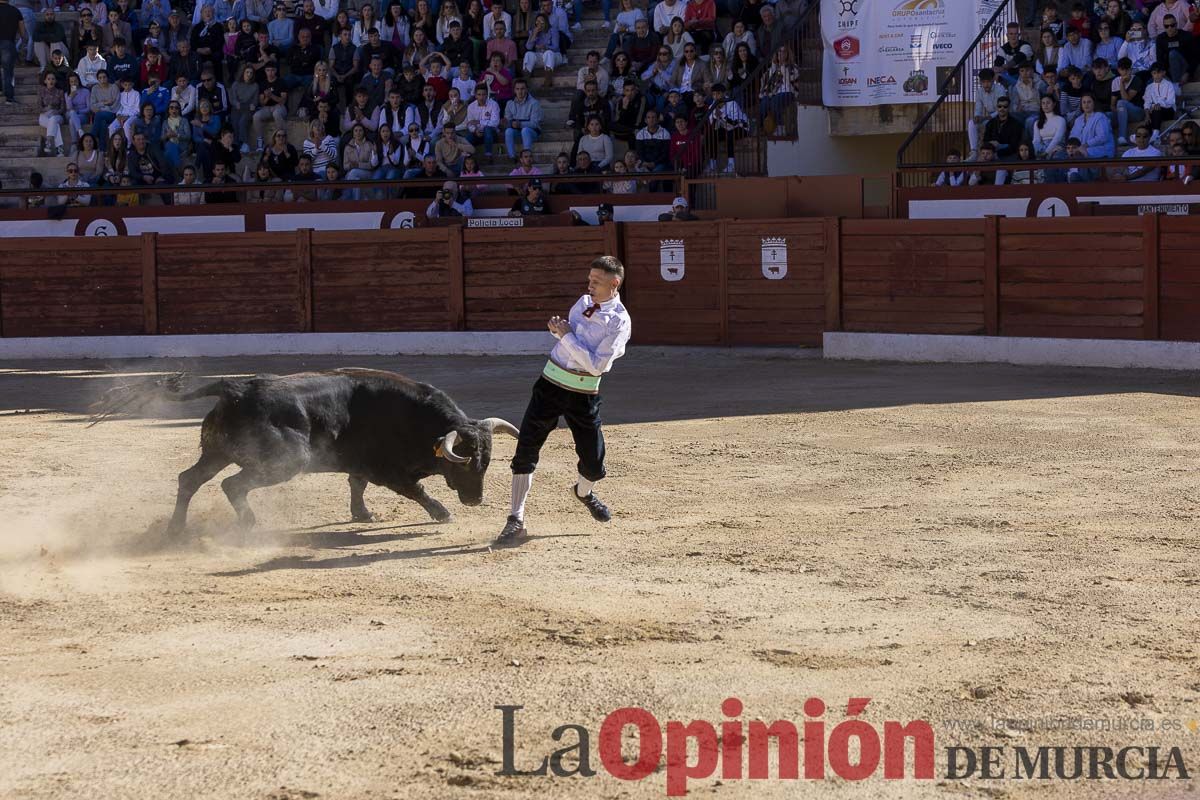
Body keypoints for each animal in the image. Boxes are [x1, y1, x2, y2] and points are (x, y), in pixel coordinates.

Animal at [153, 371, 516, 537]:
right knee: (232, 485)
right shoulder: (388, 471)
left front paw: (362, 514)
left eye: (486, 464)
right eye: (465, 465)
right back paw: (249, 523)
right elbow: (417, 490)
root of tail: (235, 388)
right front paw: (442, 513)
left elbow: (356, 484)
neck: (417, 421)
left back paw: (175, 529)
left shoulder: (361, 465)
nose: (475, 500)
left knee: (189, 479)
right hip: (285, 462)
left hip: (216, 454)